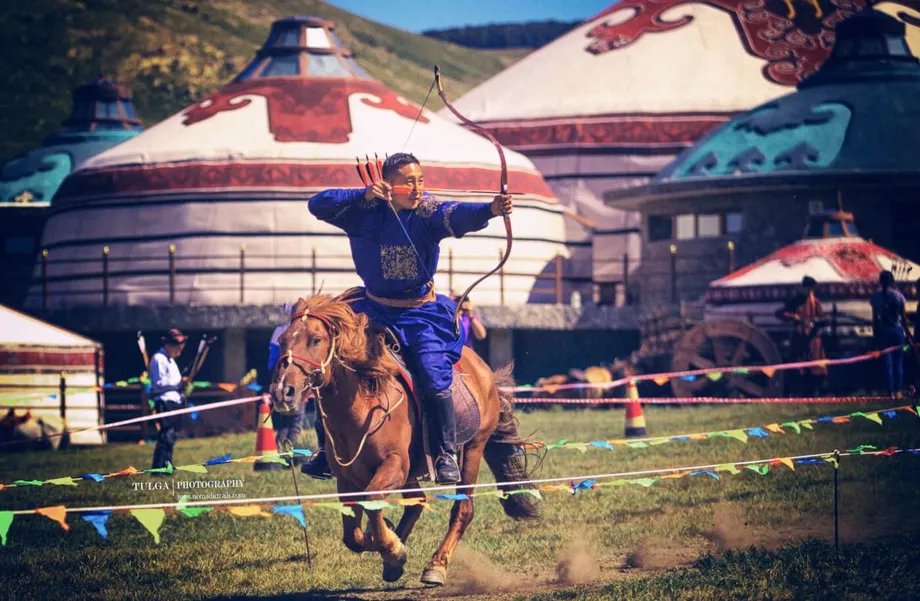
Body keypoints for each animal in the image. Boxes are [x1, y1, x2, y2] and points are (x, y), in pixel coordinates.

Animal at [269, 293, 540, 586]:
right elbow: (352, 536)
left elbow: (372, 500)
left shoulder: (395, 465)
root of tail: (483, 370)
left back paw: (436, 565)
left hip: (472, 449)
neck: (365, 402)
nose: (283, 391)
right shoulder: (346, 478)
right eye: (282, 340)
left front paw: (393, 548)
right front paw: (387, 542)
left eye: (316, 340)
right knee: (417, 502)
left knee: (462, 510)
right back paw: (393, 562)